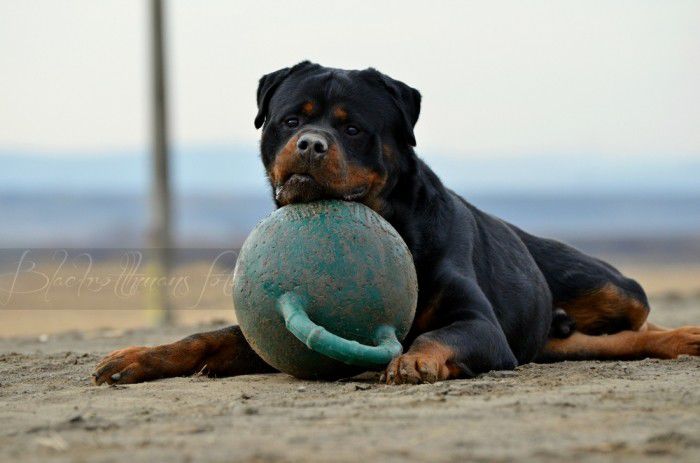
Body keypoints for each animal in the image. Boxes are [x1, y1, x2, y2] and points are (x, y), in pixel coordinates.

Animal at [93, 62, 700, 388]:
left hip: (609, 285)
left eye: (353, 128)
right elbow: (207, 337)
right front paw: (136, 357)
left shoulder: (480, 326)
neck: (396, 222)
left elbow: (441, 332)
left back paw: (684, 336)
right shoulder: (263, 335)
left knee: (637, 320)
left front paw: (416, 360)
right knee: (616, 341)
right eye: (290, 120)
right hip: (559, 341)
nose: (309, 145)